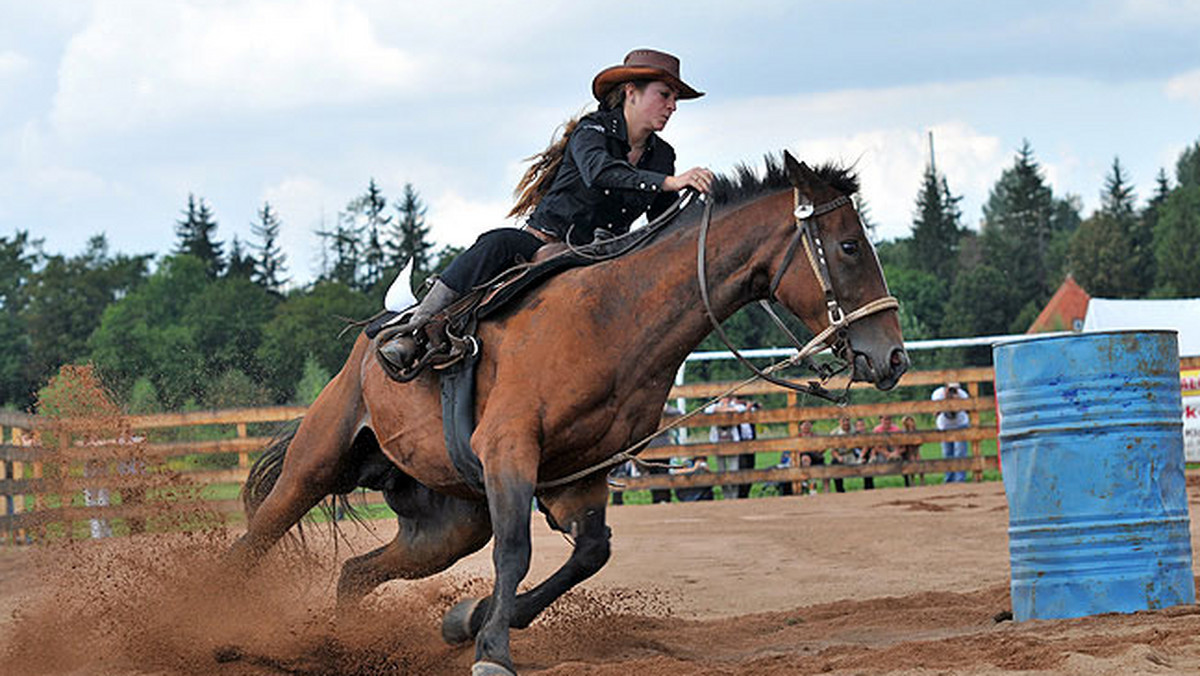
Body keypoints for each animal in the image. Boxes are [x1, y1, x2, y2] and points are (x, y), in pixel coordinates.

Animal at [231, 153, 907, 676]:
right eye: (849, 246)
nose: (892, 356)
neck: (613, 317)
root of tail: (373, 339)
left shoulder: (581, 476)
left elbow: (589, 554)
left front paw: (468, 620)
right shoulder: (509, 451)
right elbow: (516, 552)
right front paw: (492, 650)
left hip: (446, 524)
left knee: (355, 572)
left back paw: (342, 644)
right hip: (317, 464)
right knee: (255, 540)